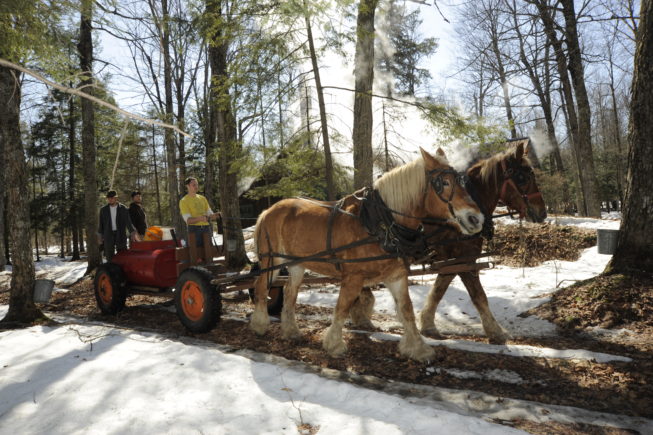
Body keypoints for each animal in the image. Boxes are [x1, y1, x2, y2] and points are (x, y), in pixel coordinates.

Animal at [250, 148, 485, 362]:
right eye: (444, 183)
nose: (476, 218)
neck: (380, 223)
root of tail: (268, 210)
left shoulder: (396, 276)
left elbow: (406, 310)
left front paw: (419, 349)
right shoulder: (353, 277)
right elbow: (342, 307)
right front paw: (334, 345)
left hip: (297, 264)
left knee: (290, 292)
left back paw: (291, 331)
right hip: (271, 259)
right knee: (261, 287)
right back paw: (259, 325)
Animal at [350, 141, 547, 344]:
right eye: (523, 177)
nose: (542, 212)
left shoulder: (451, 263)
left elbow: (438, 291)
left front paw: (428, 324)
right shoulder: (465, 260)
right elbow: (479, 296)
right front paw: (496, 332)